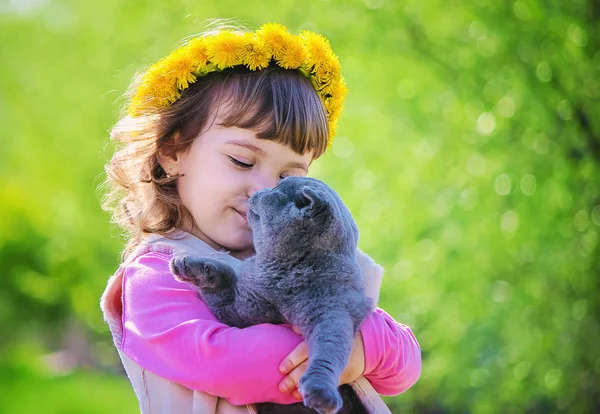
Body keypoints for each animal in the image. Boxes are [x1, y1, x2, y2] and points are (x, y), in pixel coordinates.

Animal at [169, 175, 372, 414]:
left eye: (275, 189)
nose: (260, 190)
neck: (285, 272)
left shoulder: (334, 310)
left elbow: (329, 348)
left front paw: (320, 389)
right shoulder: (241, 309)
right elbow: (221, 279)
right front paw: (187, 265)